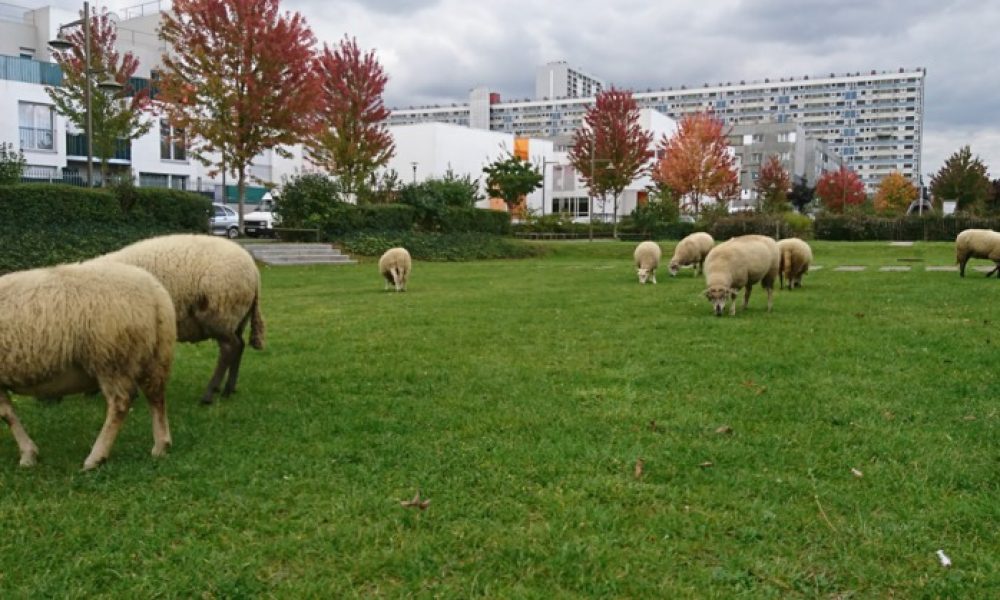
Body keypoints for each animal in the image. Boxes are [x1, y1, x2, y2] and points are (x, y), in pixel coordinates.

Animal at [0, 261, 175, 469]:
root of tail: (155, 294)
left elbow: (6, 415)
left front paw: (28, 454)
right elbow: (8, 413)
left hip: (111, 357)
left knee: (121, 402)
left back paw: (96, 457)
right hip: (154, 355)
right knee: (156, 396)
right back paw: (161, 446)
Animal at [98, 234, 264, 405]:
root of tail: (254, 271)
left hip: (220, 315)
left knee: (229, 348)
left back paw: (209, 394)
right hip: (238, 319)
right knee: (239, 346)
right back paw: (228, 389)